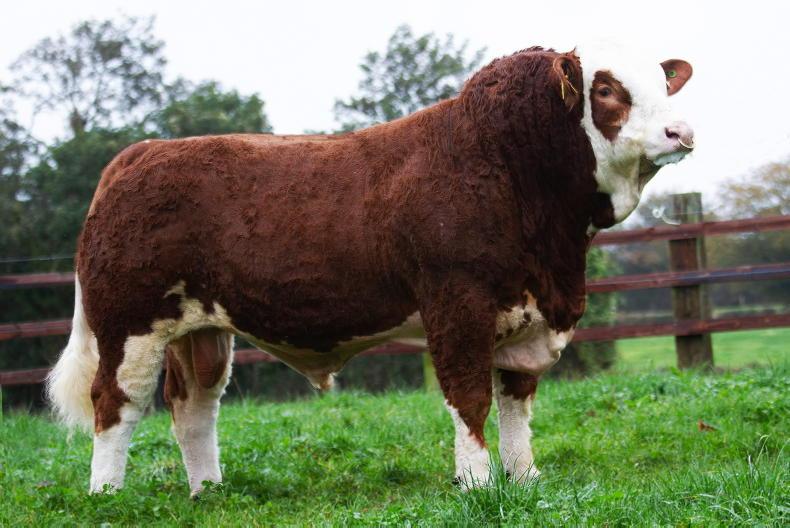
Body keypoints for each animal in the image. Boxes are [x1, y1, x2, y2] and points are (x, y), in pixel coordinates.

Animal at [47, 42, 694, 495]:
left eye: (664, 84)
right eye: (605, 88)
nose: (681, 130)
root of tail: (140, 152)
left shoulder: (529, 309)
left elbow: (517, 401)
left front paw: (525, 477)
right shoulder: (457, 304)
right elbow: (468, 396)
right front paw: (477, 483)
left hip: (200, 329)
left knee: (193, 408)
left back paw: (209, 490)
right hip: (128, 322)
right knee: (116, 403)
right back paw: (107, 496)